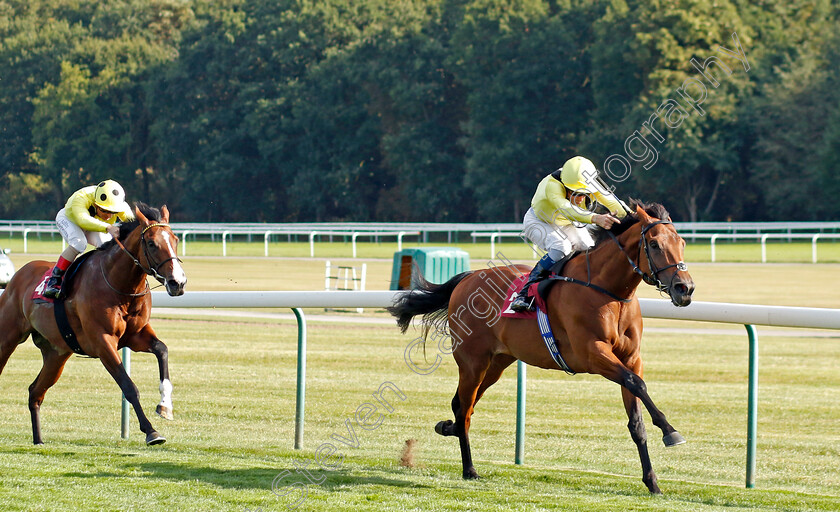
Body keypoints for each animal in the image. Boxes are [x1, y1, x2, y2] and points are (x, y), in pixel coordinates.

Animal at [0, 202, 185, 446]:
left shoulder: (136, 335)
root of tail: (17, 277)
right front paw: (151, 432)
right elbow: (129, 386)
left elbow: (162, 349)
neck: (119, 286)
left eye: (175, 240)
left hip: (56, 354)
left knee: (35, 392)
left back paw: (38, 440)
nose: (178, 283)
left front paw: (165, 406)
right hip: (7, 338)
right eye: (152, 243)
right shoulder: (102, 342)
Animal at [388, 200, 696, 492]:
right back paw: (469, 469)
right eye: (654, 244)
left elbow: (636, 420)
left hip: (497, 363)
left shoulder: (631, 358)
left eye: (681, 243)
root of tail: (468, 277)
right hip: (472, 361)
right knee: (464, 408)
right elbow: (637, 383)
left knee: (464, 405)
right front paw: (670, 431)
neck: (608, 291)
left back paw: (448, 428)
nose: (685, 288)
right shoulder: (593, 354)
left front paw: (652, 481)